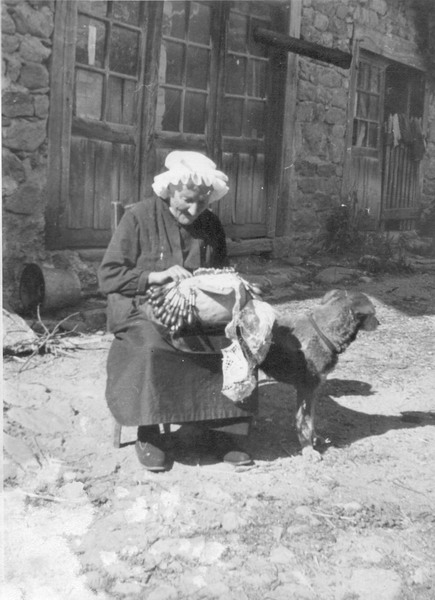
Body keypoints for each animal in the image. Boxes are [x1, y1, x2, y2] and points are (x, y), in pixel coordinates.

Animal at [258, 290, 378, 460]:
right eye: (372, 313)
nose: (379, 323)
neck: (324, 333)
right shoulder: (306, 389)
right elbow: (305, 422)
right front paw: (308, 449)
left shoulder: (314, 388)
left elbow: (312, 418)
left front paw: (314, 439)